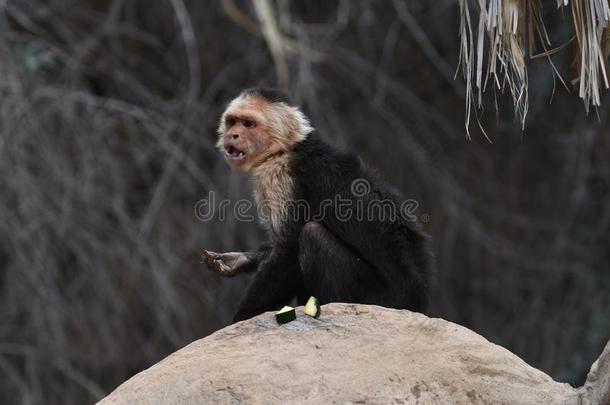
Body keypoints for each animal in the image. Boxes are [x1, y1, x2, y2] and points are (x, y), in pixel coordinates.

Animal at [202, 87, 430, 320]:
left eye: (248, 124)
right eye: (232, 122)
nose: (232, 134)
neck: (284, 150)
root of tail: (416, 302)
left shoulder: (278, 177)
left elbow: (288, 252)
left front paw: (243, 318)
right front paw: (238, 260)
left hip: (377, 298)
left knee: (312, 234)